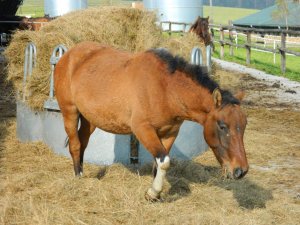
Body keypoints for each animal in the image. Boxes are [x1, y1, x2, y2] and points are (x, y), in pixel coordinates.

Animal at [54, 41, 248, 201]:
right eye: (222, 126)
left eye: (244, 125)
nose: (241, 171)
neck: (165, 89)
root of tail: (69, 54)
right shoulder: (143, 129)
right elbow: (164, 161)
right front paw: (153, 193)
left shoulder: (170, 133)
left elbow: (159, 164)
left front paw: (156, 194)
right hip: (70, 112)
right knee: (75, 144)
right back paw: (78, 177)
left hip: (90, 119)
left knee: (83, 142)